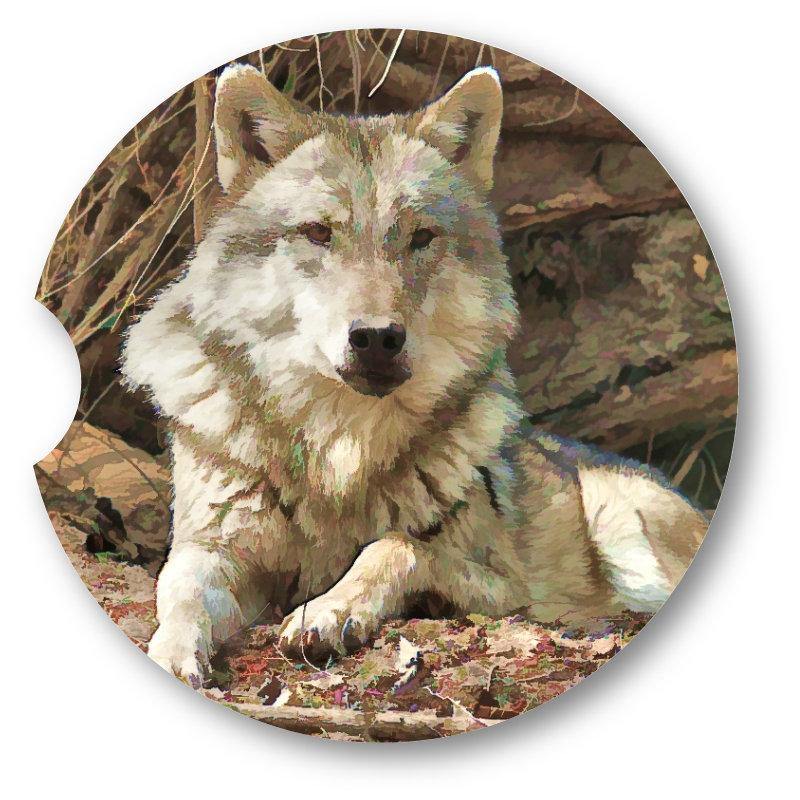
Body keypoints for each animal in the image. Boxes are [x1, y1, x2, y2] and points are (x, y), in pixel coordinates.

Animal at [121, 63, 707, 685]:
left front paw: (329, 610)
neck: (341, 449)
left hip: (625, 528)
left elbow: (395, 545)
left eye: (420, 237)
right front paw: (174, 653)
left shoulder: (508, 589)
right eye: (319, 233)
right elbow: (178, 589)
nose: (377, 337)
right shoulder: (212, 547)